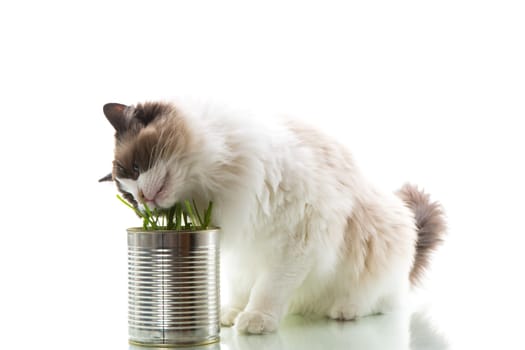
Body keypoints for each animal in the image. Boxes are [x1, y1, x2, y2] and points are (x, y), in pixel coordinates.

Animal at [100, 98, 444, 334]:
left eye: (136, 168)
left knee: (378, 299)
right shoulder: (241, 246)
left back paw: (346, 309)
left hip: (384, 242)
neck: (215, 182)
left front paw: (255, 319)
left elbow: (269, 288)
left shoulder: (298, 236)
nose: (145, 200)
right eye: (130, 199)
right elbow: (242, 288)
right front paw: (231, 314)